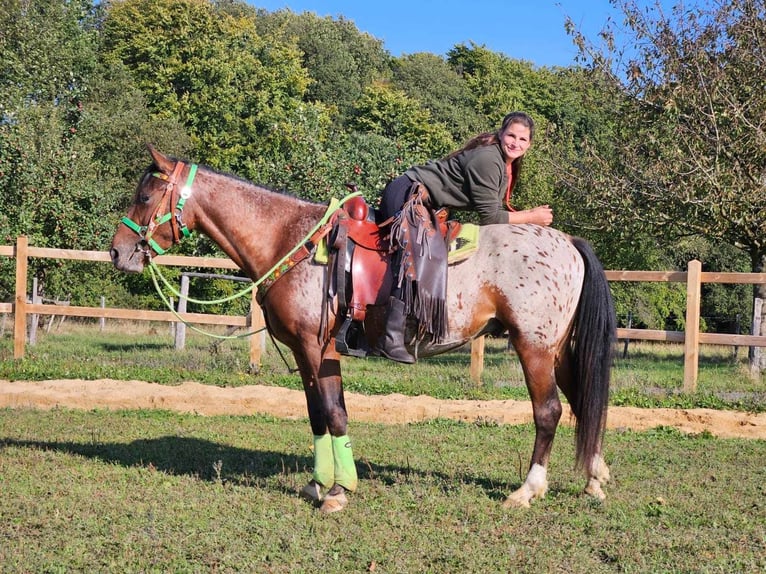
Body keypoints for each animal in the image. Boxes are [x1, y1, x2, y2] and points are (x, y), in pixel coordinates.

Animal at [109, 146, 616, 516]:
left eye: (144, 196)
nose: (117, 251)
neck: (288, 237)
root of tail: (569, 243)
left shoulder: (315, 348)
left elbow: (333, 413)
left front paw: (338, 492)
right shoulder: (310, 352)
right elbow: (319, 414)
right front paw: (320, 483)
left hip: (534, 347)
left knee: (549, 411)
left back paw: (528, 490)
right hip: (558, 350)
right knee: (581, 402)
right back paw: (594, 478)